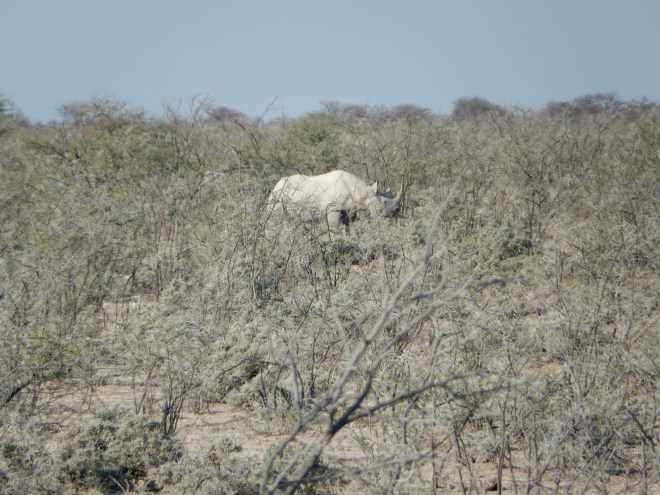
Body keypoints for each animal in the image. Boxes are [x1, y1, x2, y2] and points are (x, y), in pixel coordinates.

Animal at [267, 170, 402, 228]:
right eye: (384, 202)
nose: (397, 210)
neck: (362, 192)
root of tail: (275, 185)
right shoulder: (333, 208)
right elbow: (334, 227)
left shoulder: (349, 209)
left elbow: (348, 229)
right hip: (277, 196)